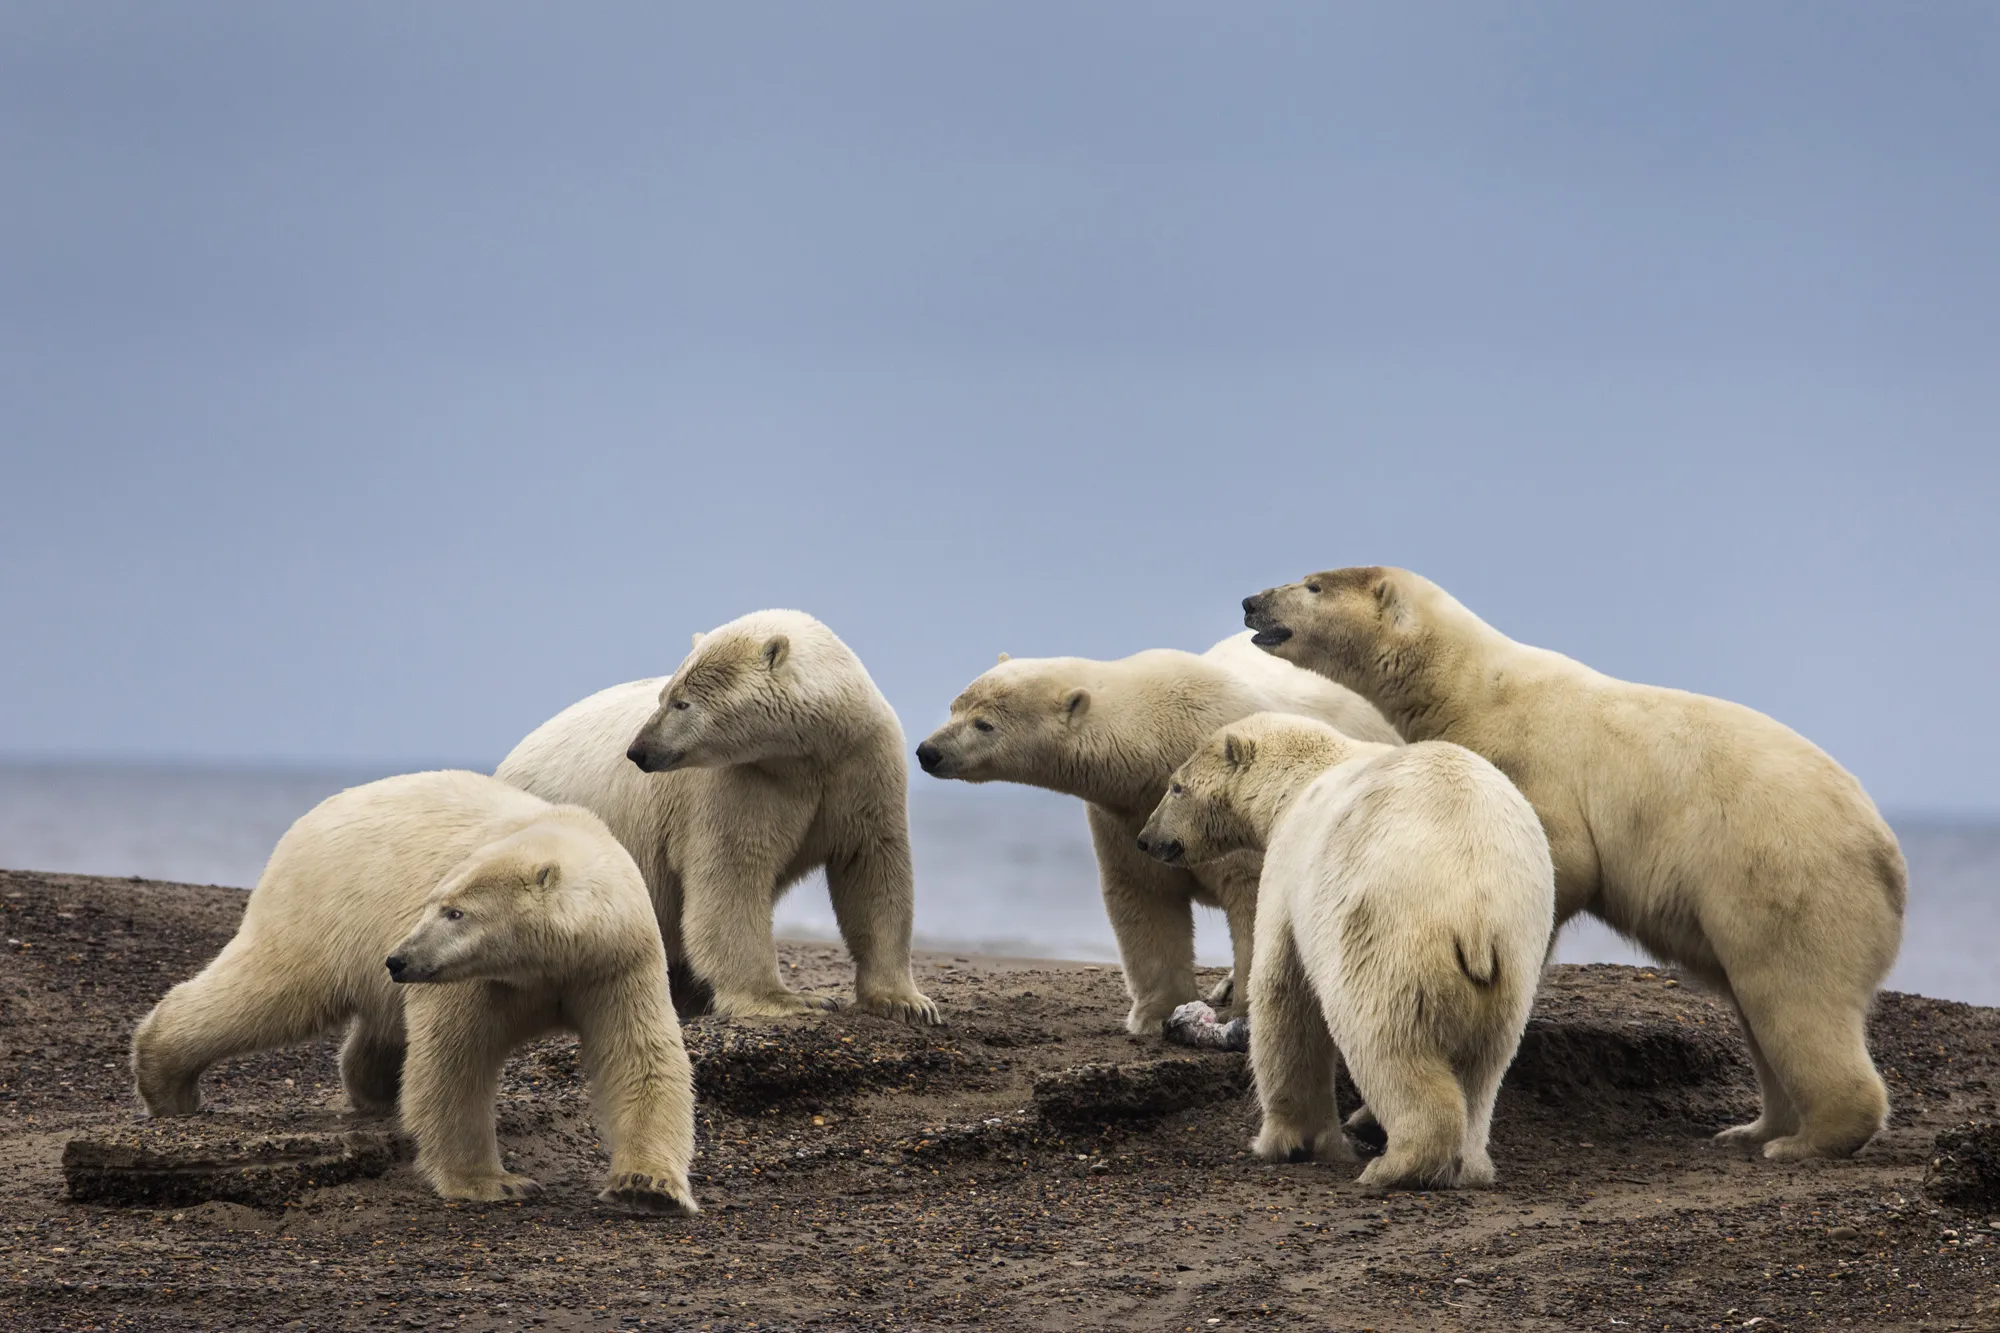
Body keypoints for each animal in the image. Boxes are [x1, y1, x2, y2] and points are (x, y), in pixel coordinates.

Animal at [131, 768, 696, 1216]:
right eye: (434, 903)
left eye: (456, 912)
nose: (399, 958)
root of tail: (310, 816)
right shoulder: (477, 981)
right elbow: (454, 1062)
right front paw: (492, 1182)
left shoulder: (615, 963)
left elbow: (639, 1057)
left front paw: (647, 1187)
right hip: (325, 910)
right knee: (268, 992)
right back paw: (167, 1082)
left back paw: (376, 1089)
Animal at [496, 608, 940, 1020]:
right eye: (664, 695)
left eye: (681, 702)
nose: (638, 750)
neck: (806, 754)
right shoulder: (737, 784)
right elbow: (731, 875)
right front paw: (789, 999)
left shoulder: (861, 765)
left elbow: (871, 865)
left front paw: (905, 1002)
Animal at [916, 628, 1400, 1032]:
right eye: (955, 706)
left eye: (984, 724)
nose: (928, 751)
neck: (1157, 738)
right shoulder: (1126, 814)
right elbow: (1143, 894)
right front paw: (1156, 1014)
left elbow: (1249, 895)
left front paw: (1244, 1012)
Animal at [1144, 712, 1544, 1184]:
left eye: (1176, 786)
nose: (1146, 838)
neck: (1300, 777)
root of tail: (1476, 910)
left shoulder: (1292, 865)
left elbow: (1282, 991)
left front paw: (1285, 1142)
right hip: (1515, 952)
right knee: (1485, 1063)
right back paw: (1470, 1165)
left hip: (1387, 936)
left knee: (1386, 1041)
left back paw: (1397, 1163)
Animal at [1248, 564, 1904, 1160]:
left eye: (1312, 584)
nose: (1252, 601)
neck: (1470, 685)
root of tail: (1888, 855)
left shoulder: (1533, 759)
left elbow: (1561, 858)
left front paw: (1366, 1115)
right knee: (1761, 1011)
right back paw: (1756, 1129)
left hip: (1784, 876)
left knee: (1794, 996)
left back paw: (1805, 1140)